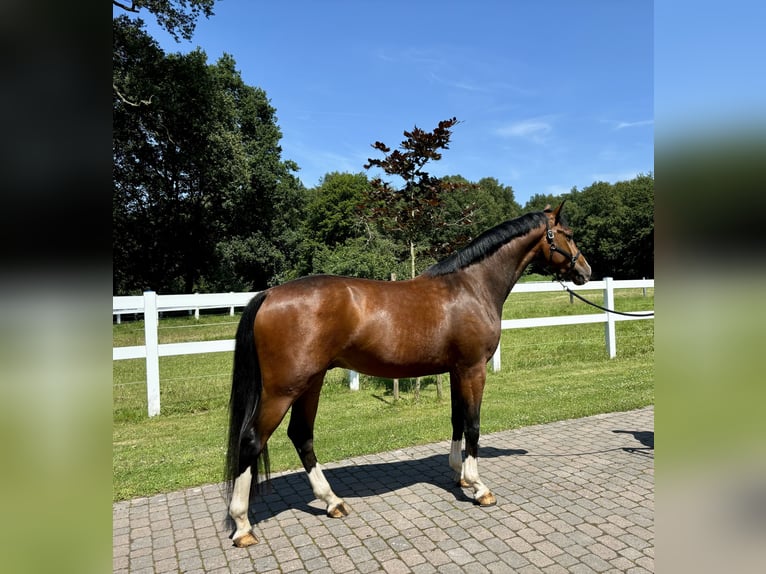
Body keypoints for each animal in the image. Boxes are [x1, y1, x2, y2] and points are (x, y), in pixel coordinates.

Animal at [225, 202, 592, 548]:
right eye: (568, 234)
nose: (586, 270)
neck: (472, 286)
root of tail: (269, 294)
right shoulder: (473, 370)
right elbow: (473, 425)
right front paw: (479, 487)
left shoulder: (456, 371)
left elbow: (457, 420)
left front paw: (459, 474)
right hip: (283, 389)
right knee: (252, 440)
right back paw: (242, 525)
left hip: (310, 384)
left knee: (301, 435)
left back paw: (332, 502)